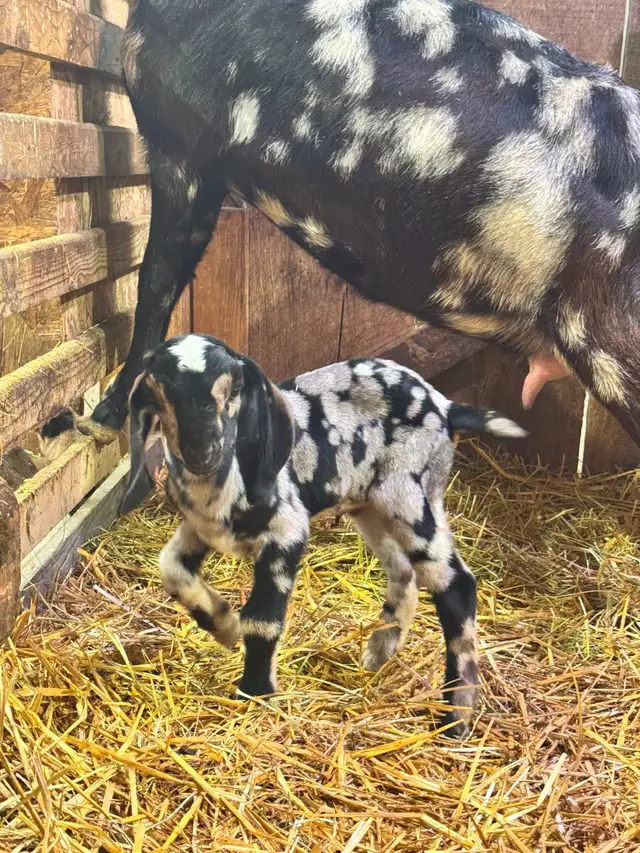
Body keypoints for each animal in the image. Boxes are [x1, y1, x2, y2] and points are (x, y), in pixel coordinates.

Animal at [121, 333, 526, 733]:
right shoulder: (201, 528)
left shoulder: (287, 530)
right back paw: (379, 653)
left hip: (410, 497)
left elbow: (262, 620)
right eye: (159, 390)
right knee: (403, 573)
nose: (204, 451)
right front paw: (222, 624)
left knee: (457, 586)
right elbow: (171, 568)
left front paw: (256, 693)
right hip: (372, 507)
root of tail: (445, 406)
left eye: (234, 387)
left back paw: (456, 716)